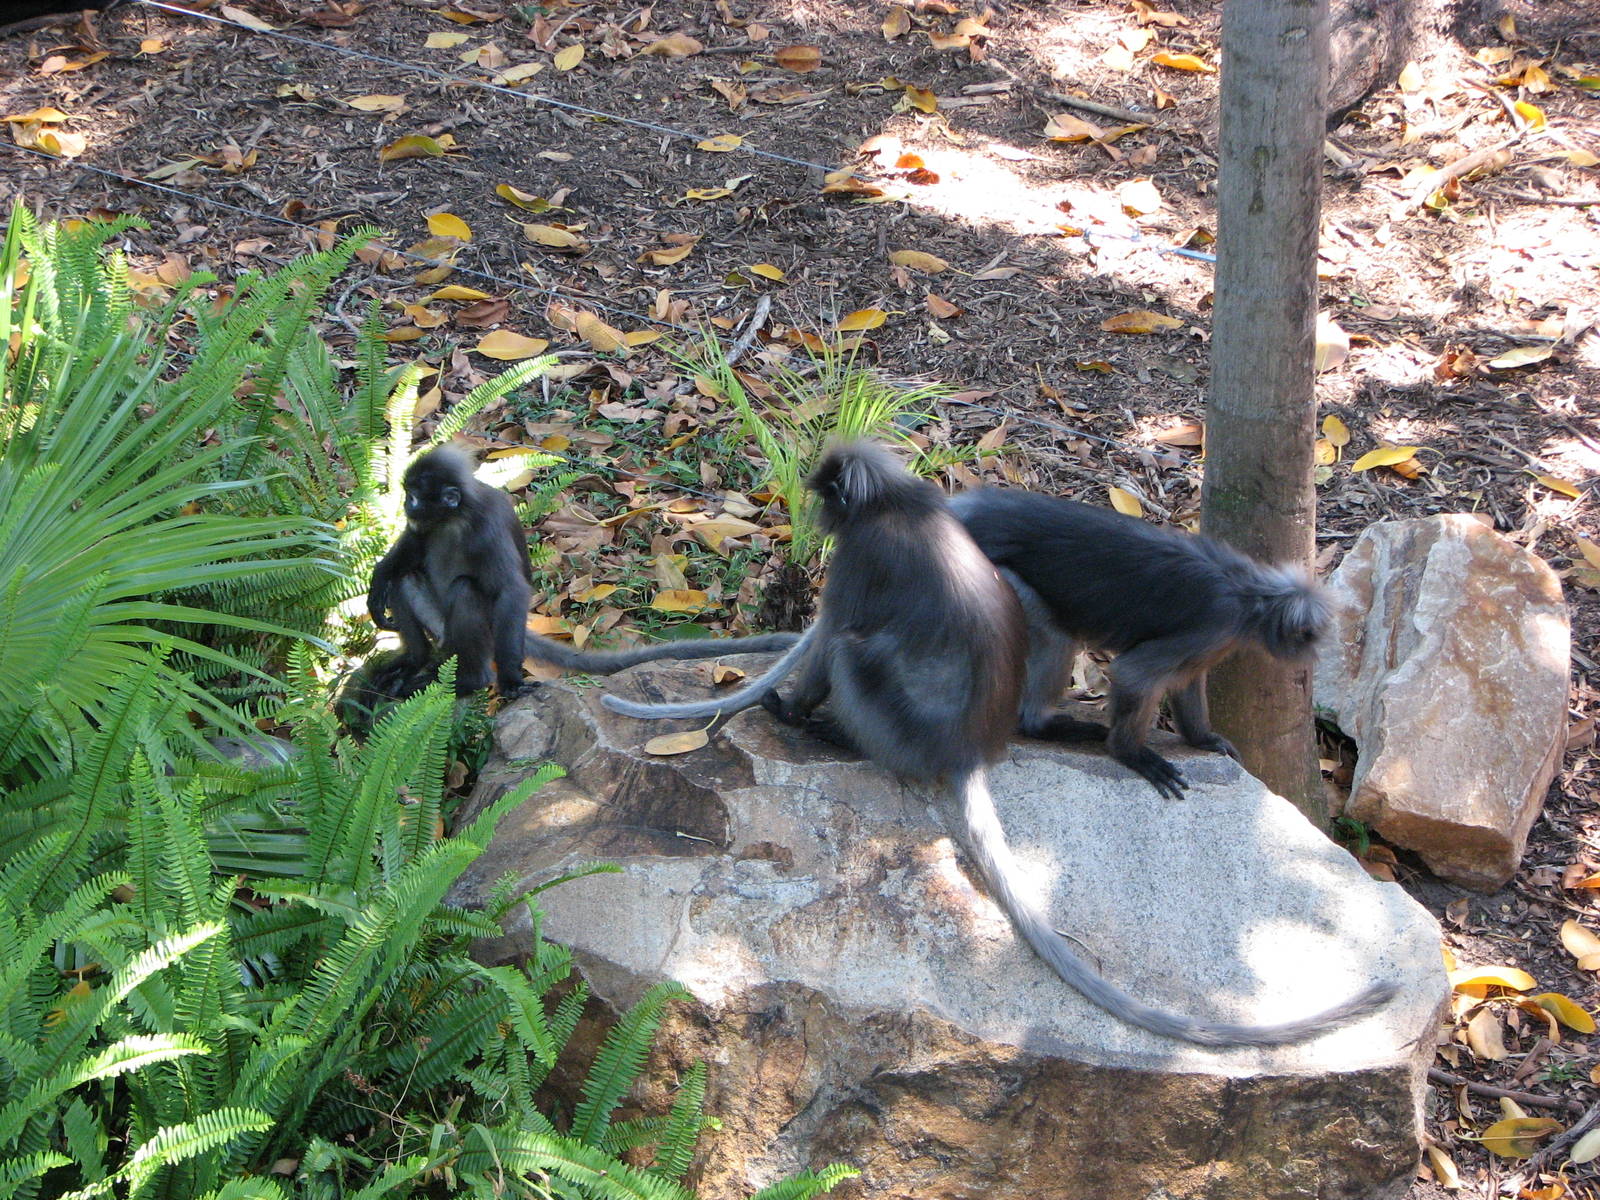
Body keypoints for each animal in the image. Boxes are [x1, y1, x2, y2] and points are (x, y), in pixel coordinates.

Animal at [367, 446, 799, 698]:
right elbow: (410, 549)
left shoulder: (485, 526)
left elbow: (511, 592)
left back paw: (470, 682)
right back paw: (415, 659)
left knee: (464, 590)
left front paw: (511, 680)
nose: (404, 504)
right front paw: (376, 582)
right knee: (405, 578)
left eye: (415, 496)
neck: (455, 519)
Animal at [946, 488, 1329, 801]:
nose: (1312, 658)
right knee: (1054, 633)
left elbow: (1186, 681)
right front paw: (1132, 754)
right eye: (1310, 639)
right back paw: (1041, 724)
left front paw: (1203, 739)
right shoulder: (1218, 625)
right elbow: (1134, 673)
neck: (1251, 590)